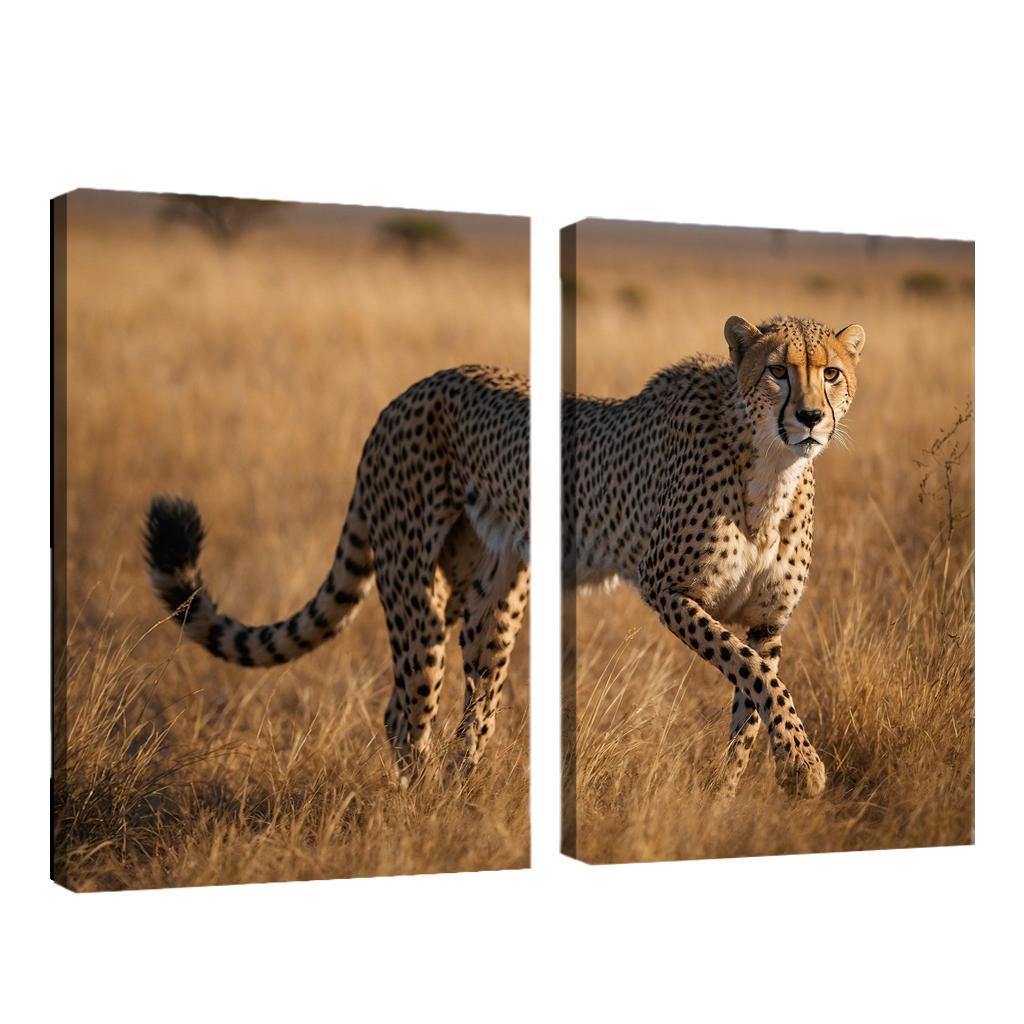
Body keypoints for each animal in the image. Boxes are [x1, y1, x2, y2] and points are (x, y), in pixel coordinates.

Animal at [145, 365, 530, 779]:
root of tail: (406, 395)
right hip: (415, 593)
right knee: (412, 707)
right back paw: (427, 791)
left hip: (483, 597)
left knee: (457, 700)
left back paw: (456, 782)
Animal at [563, 314, 866, 798]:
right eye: (777, 371)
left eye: (831, 373)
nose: (811, 417)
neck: (771, 469)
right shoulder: (666, 587)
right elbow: (751, 668)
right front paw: (802, 763)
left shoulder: (767, 621)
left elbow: (753, 700)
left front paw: (726, 793)